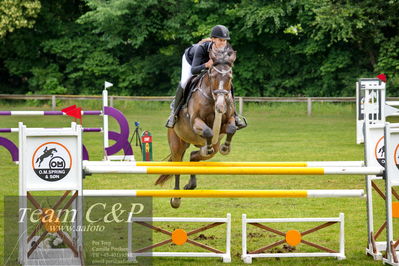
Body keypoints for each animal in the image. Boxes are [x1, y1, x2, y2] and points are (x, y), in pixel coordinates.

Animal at [155, 44, 238, 209]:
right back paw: (176, 199)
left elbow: (231, 128)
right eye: (212, 75)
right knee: (178, 165)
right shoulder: (195, 122)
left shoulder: (227, 122)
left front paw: (226, 148)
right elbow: (207, 131)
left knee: (194, 156)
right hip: (177, 144)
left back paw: (191, 184)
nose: (221, 106)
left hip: (206, 146)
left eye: (230, 77)